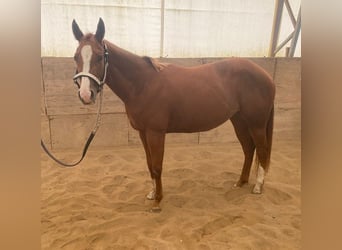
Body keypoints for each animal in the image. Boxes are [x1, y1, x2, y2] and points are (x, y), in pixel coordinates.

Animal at [71, 18, 276, 212]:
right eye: (75, 56)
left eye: (99, 57)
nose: (86, 95)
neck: (143, 83)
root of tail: (266, 76)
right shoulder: (143, 133)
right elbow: (149, 164)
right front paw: (152, 194)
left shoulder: (156, 133)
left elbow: (157, 166)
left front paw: (158, 202)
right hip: (239, 121)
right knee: (249, 149)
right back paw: (241, 182)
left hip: (256, 124)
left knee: (262, 150)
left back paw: (257, 187)